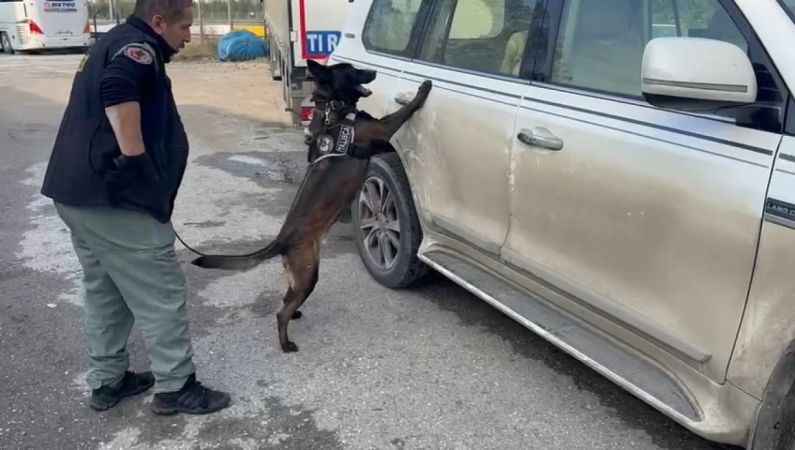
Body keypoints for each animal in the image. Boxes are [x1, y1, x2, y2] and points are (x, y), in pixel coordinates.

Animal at [193, 60, 432, 356]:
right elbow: (402, 111)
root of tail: (281, 241)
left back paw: (294, 314)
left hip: (300, 273)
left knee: (287, 298)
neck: (335, 112)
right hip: (308, 274)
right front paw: (422, 90)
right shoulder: (383, 128)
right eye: (352, 71)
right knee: (281, 313)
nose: (374, 71)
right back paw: (286, 342)